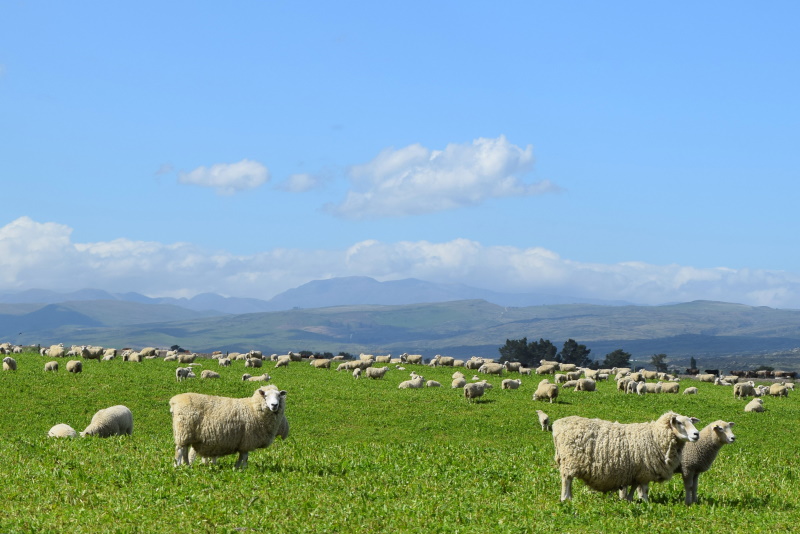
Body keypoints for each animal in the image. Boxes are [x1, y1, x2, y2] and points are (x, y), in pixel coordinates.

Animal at [552, 412, 696, 504]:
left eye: (690, 421)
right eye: (679, 422)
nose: (696, 434)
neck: (655, 436)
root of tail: (557, 424)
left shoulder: (637, 471)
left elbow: (635, 487)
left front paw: (630, 500)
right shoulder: (645, 472)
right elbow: (644, 489)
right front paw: (646, 503)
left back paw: (570, 498)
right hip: (569, 461)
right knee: (566, 480)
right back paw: (565, 499)